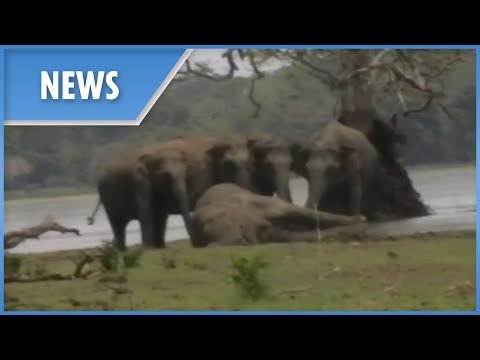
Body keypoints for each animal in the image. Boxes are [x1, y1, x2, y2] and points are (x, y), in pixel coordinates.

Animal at [86, 136, 251, 250]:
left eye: (186, 174)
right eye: (166, 176)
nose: (197, 244)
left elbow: (161, 212)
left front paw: (160, 248)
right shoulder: (140, 181)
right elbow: (146, 208)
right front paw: (150, 249)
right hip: (106, 196)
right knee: (117, 223)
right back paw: (122, 250)